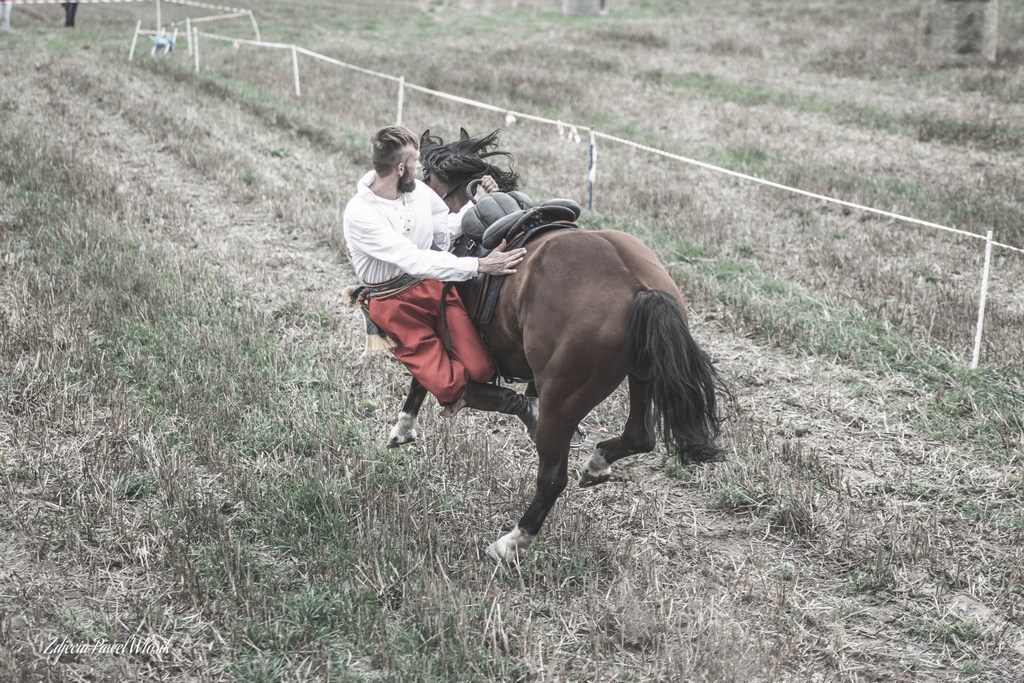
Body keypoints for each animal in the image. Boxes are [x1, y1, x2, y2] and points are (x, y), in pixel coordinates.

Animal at [382, 127, 720, 561]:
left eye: (425, 179)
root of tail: (640, 289)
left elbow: (424, 380)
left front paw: (402, 429)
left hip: (565, 398)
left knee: (552, 478)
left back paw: (511, 542)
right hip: (640, 375)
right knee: (639, 436)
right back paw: (596, 465)